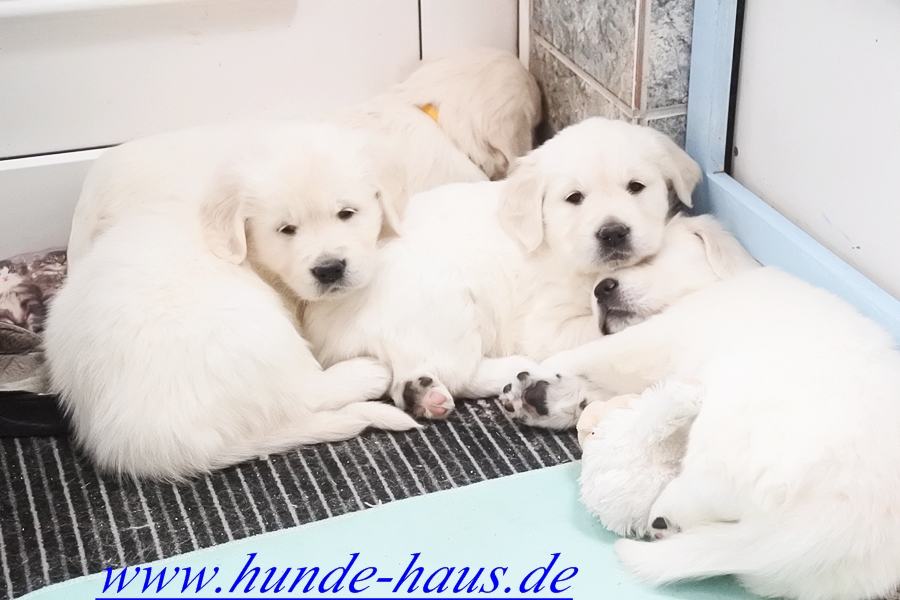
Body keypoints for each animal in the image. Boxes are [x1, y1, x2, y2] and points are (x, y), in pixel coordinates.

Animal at [44, 123, 419, 480]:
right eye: (286, 229)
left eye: (346, 213)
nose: (329, 269)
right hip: (252, 330)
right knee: (305, 392)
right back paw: (366, 373)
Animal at [302, 117, 701, 418]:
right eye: (574, 198)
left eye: (636, 186)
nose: (613, 233)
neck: (558, 247)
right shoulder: (545, 325)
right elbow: (600, 329)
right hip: (444, 302)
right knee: (459, 372)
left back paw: (422, 395)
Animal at [501, 216, 900, 599]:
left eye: (649, 257)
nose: (600, 290)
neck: (713, 285)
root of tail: (843, 523)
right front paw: (545, 397)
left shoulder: (654, 336)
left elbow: (584, 355)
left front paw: (535, 379)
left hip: (728, 434)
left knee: (701, 490)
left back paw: (662, 518)